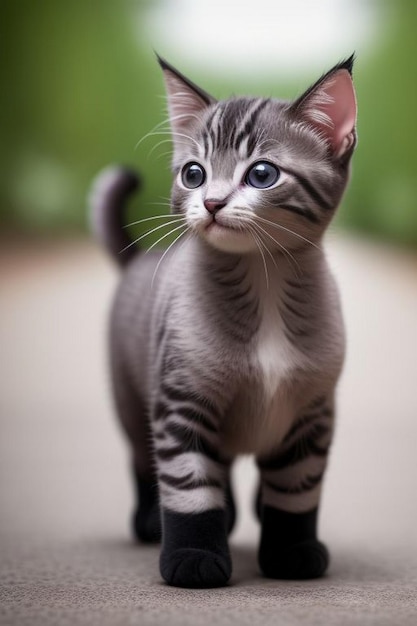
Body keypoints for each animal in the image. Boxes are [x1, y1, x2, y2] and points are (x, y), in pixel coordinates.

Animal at [89, 56, 356, 588]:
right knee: (145, 461)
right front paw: (193, 557)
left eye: (262, 174)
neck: (264, 285)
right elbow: (191, 488)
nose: (211, 202)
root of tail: (138, 259)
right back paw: (151, 521)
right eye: (194, 174)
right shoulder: (182, 403)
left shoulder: (312, 414)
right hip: (132, 400)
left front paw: (292, 550)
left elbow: (296, 490)